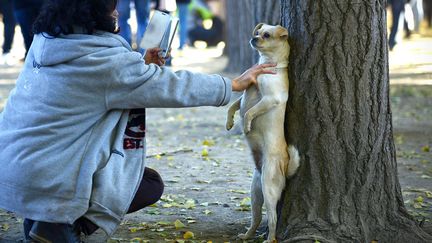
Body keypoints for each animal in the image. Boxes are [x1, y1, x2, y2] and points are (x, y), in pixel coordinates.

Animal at [226, 23, 300, 242]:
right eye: (257, 32)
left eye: (266, 35)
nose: (254, 38)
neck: (268, 64)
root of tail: (285, 164)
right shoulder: (246, 87)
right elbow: (234, 106)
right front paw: (230, 122)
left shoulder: (270, 99)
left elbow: (249, 112)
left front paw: (246, 125)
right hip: (255, 193)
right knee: (257, 218)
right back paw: (247, 235)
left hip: (268, 189)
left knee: (273, 219)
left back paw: (270, 238)